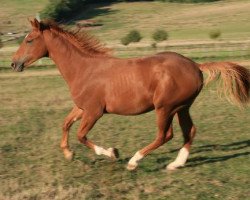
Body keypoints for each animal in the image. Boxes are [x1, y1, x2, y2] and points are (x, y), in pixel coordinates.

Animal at [10, 19, 249, 170]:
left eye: (29, 40)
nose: (13, 63)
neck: (84, 69)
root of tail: (196, 66)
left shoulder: (94, 112)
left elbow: (81, 135)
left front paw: (112, 153)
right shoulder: (82, 107)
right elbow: (65, 124)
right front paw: (69, 154)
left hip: (165, 108)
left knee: (165, 135)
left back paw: (134, 161)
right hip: (182, 107)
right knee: (189, 131)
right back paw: (176, 164)